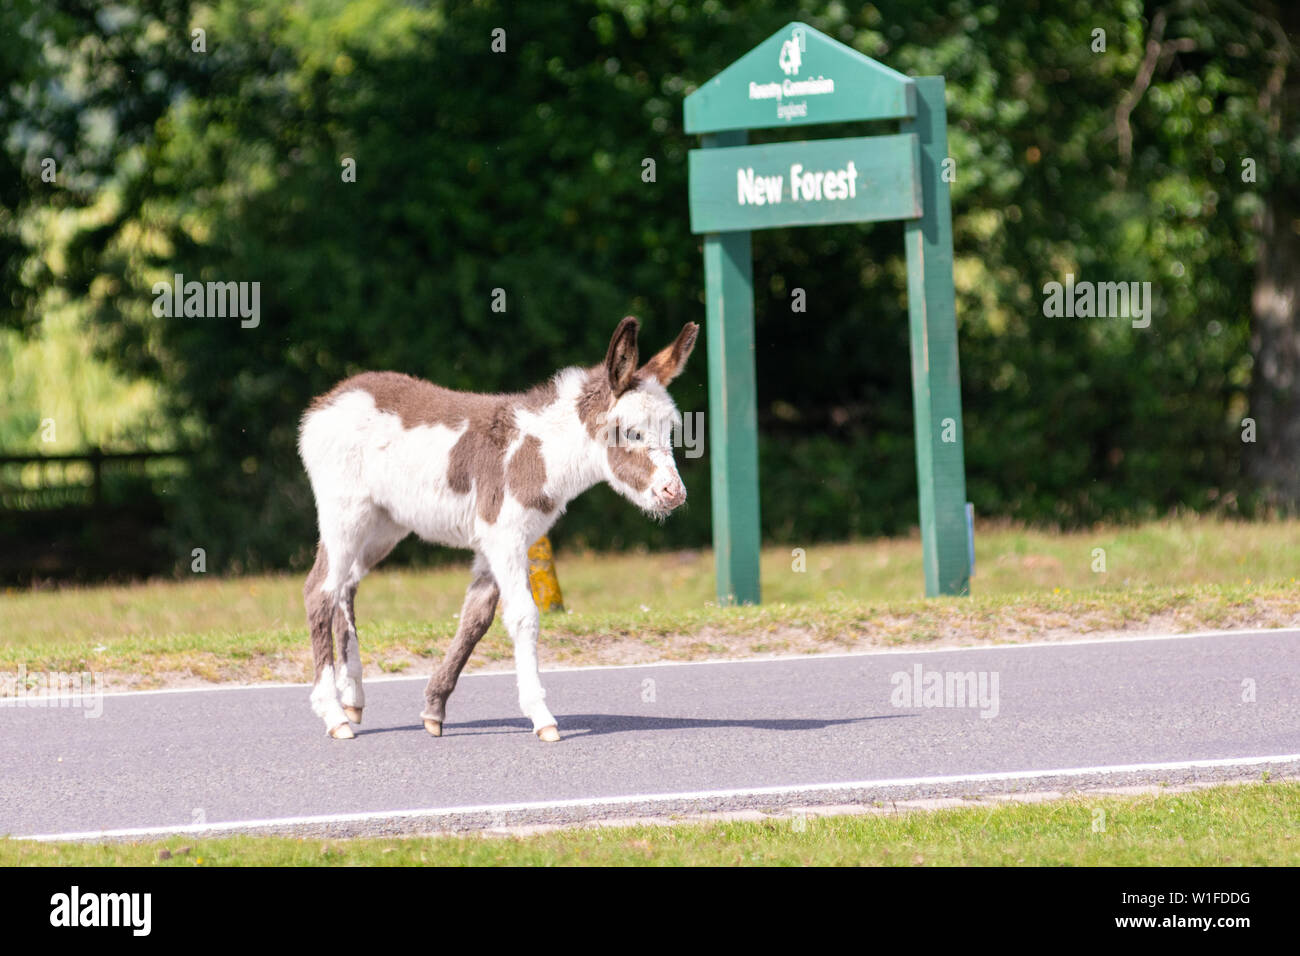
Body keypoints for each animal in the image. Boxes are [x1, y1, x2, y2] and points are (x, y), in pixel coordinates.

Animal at [297, 317, 696, 743]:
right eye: (631, 432)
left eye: (671, 431)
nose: (674, 493)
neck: (542, 453)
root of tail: (331, 398)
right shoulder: (504, 537)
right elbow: (523, 616)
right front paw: (542, 716)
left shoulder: (502, 541)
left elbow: (475, 619)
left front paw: (434, 709)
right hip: (344, 512)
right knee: (320, 590)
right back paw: (334, 715)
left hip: (383, 525)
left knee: (346, 585)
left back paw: (353, 698)